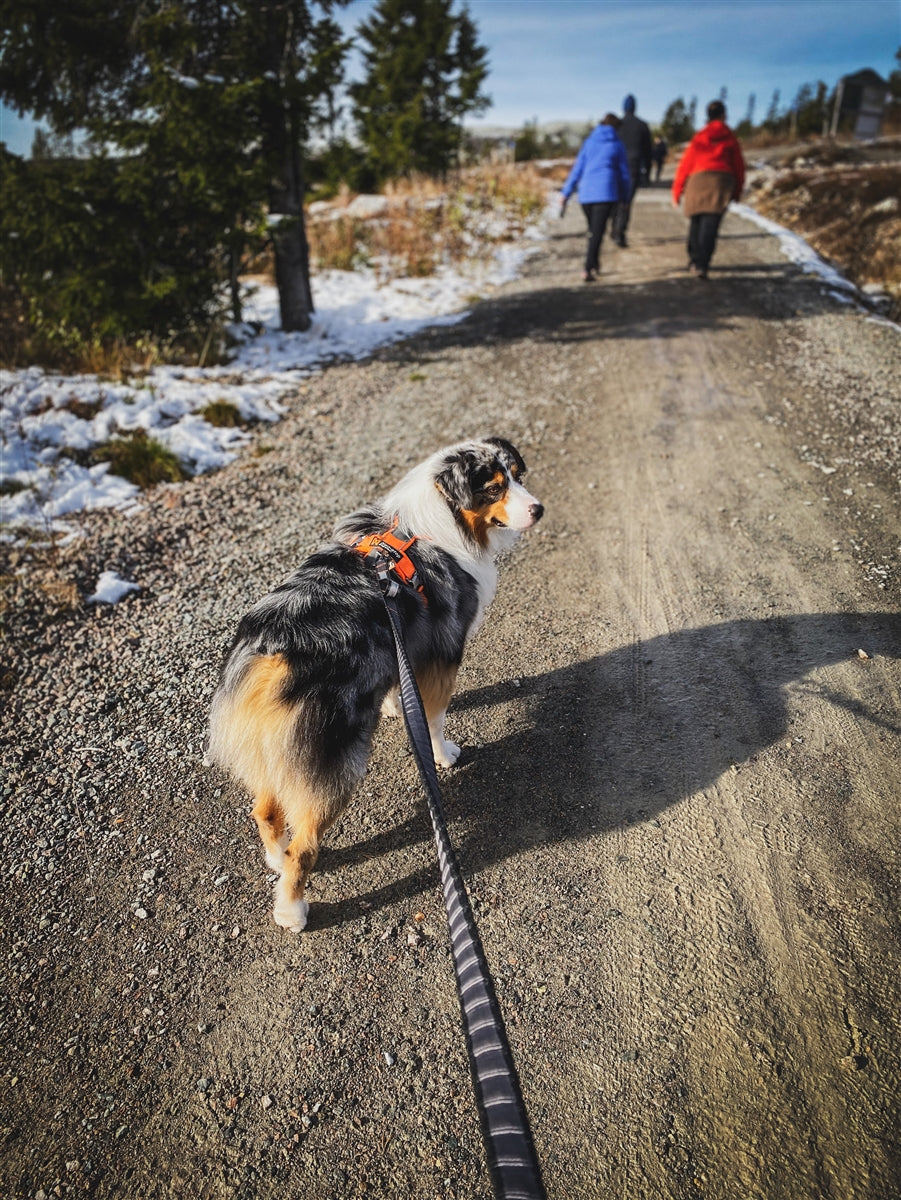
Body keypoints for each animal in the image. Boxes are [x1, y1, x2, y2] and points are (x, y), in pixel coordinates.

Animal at [207, 436, 542, 931]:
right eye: (494, 488)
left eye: (518, 476)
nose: (539, 508)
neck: (441, 521)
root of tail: (274, 652)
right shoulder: (444, 650)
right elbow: (434, 717)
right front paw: (444, 755)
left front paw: (391, 706)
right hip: (336, 764)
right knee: (306, 845)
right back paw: (292, 909)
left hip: (271, 749)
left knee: (265, 812)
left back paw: (275, 857)